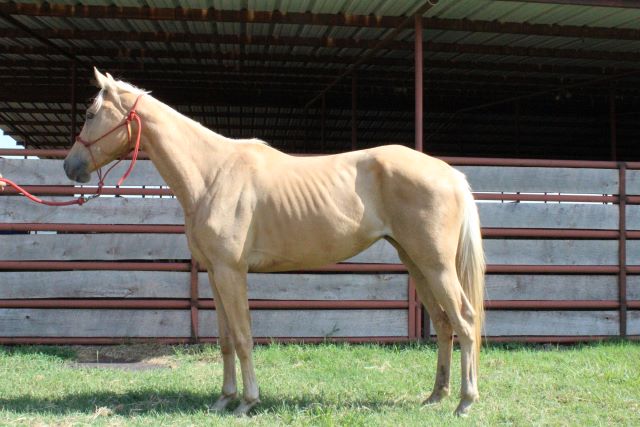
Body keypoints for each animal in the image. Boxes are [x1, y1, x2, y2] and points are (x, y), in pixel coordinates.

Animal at [65, 68, 484, 416]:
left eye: (90, 114)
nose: (70, 167)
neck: (212, 173)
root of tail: (450, 174)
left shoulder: (232, 272)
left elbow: (244, 337)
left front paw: (247, 402)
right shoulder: (215, 274)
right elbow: (225, 339)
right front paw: (224, 399)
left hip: (436, 266)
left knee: (464, 319)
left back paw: (465, 402)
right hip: (416, 262)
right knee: (444, 324)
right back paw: (436, 396)